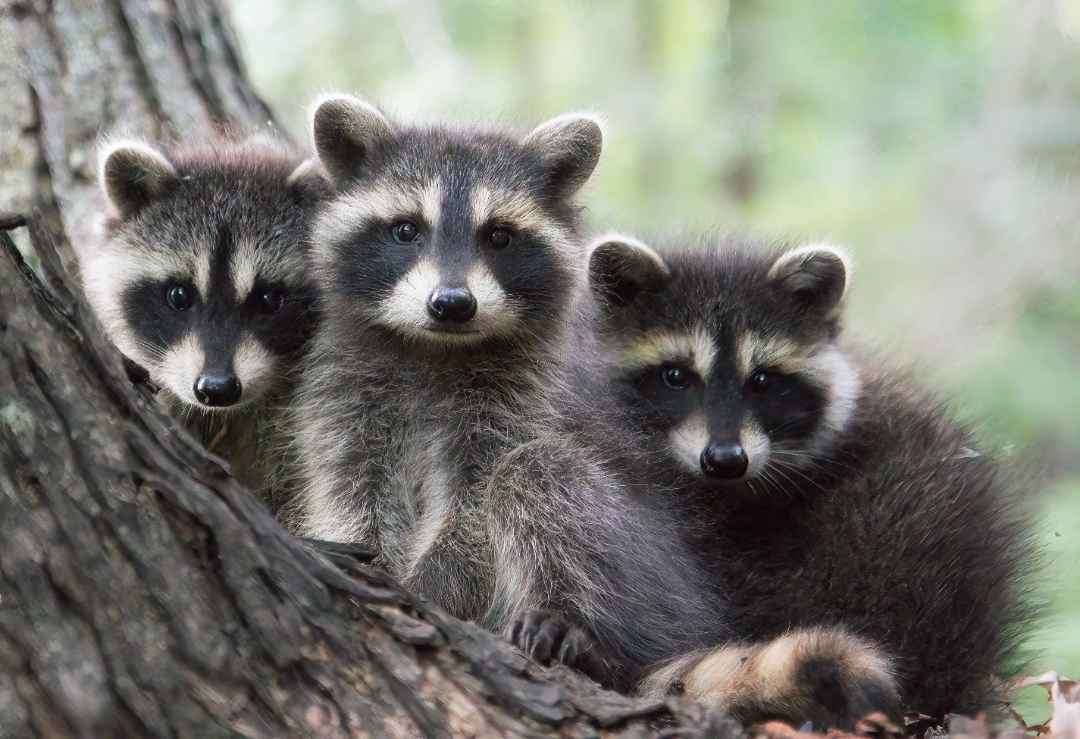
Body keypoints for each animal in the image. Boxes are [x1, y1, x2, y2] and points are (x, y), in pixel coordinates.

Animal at [290, 94, 606, 621]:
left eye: (499, 236)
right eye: (405, 230)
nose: (453, 303)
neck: (434, 349)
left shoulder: (513, 400)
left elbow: (477, 500)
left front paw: (437, 582)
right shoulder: (347, 394)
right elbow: (352, 485)